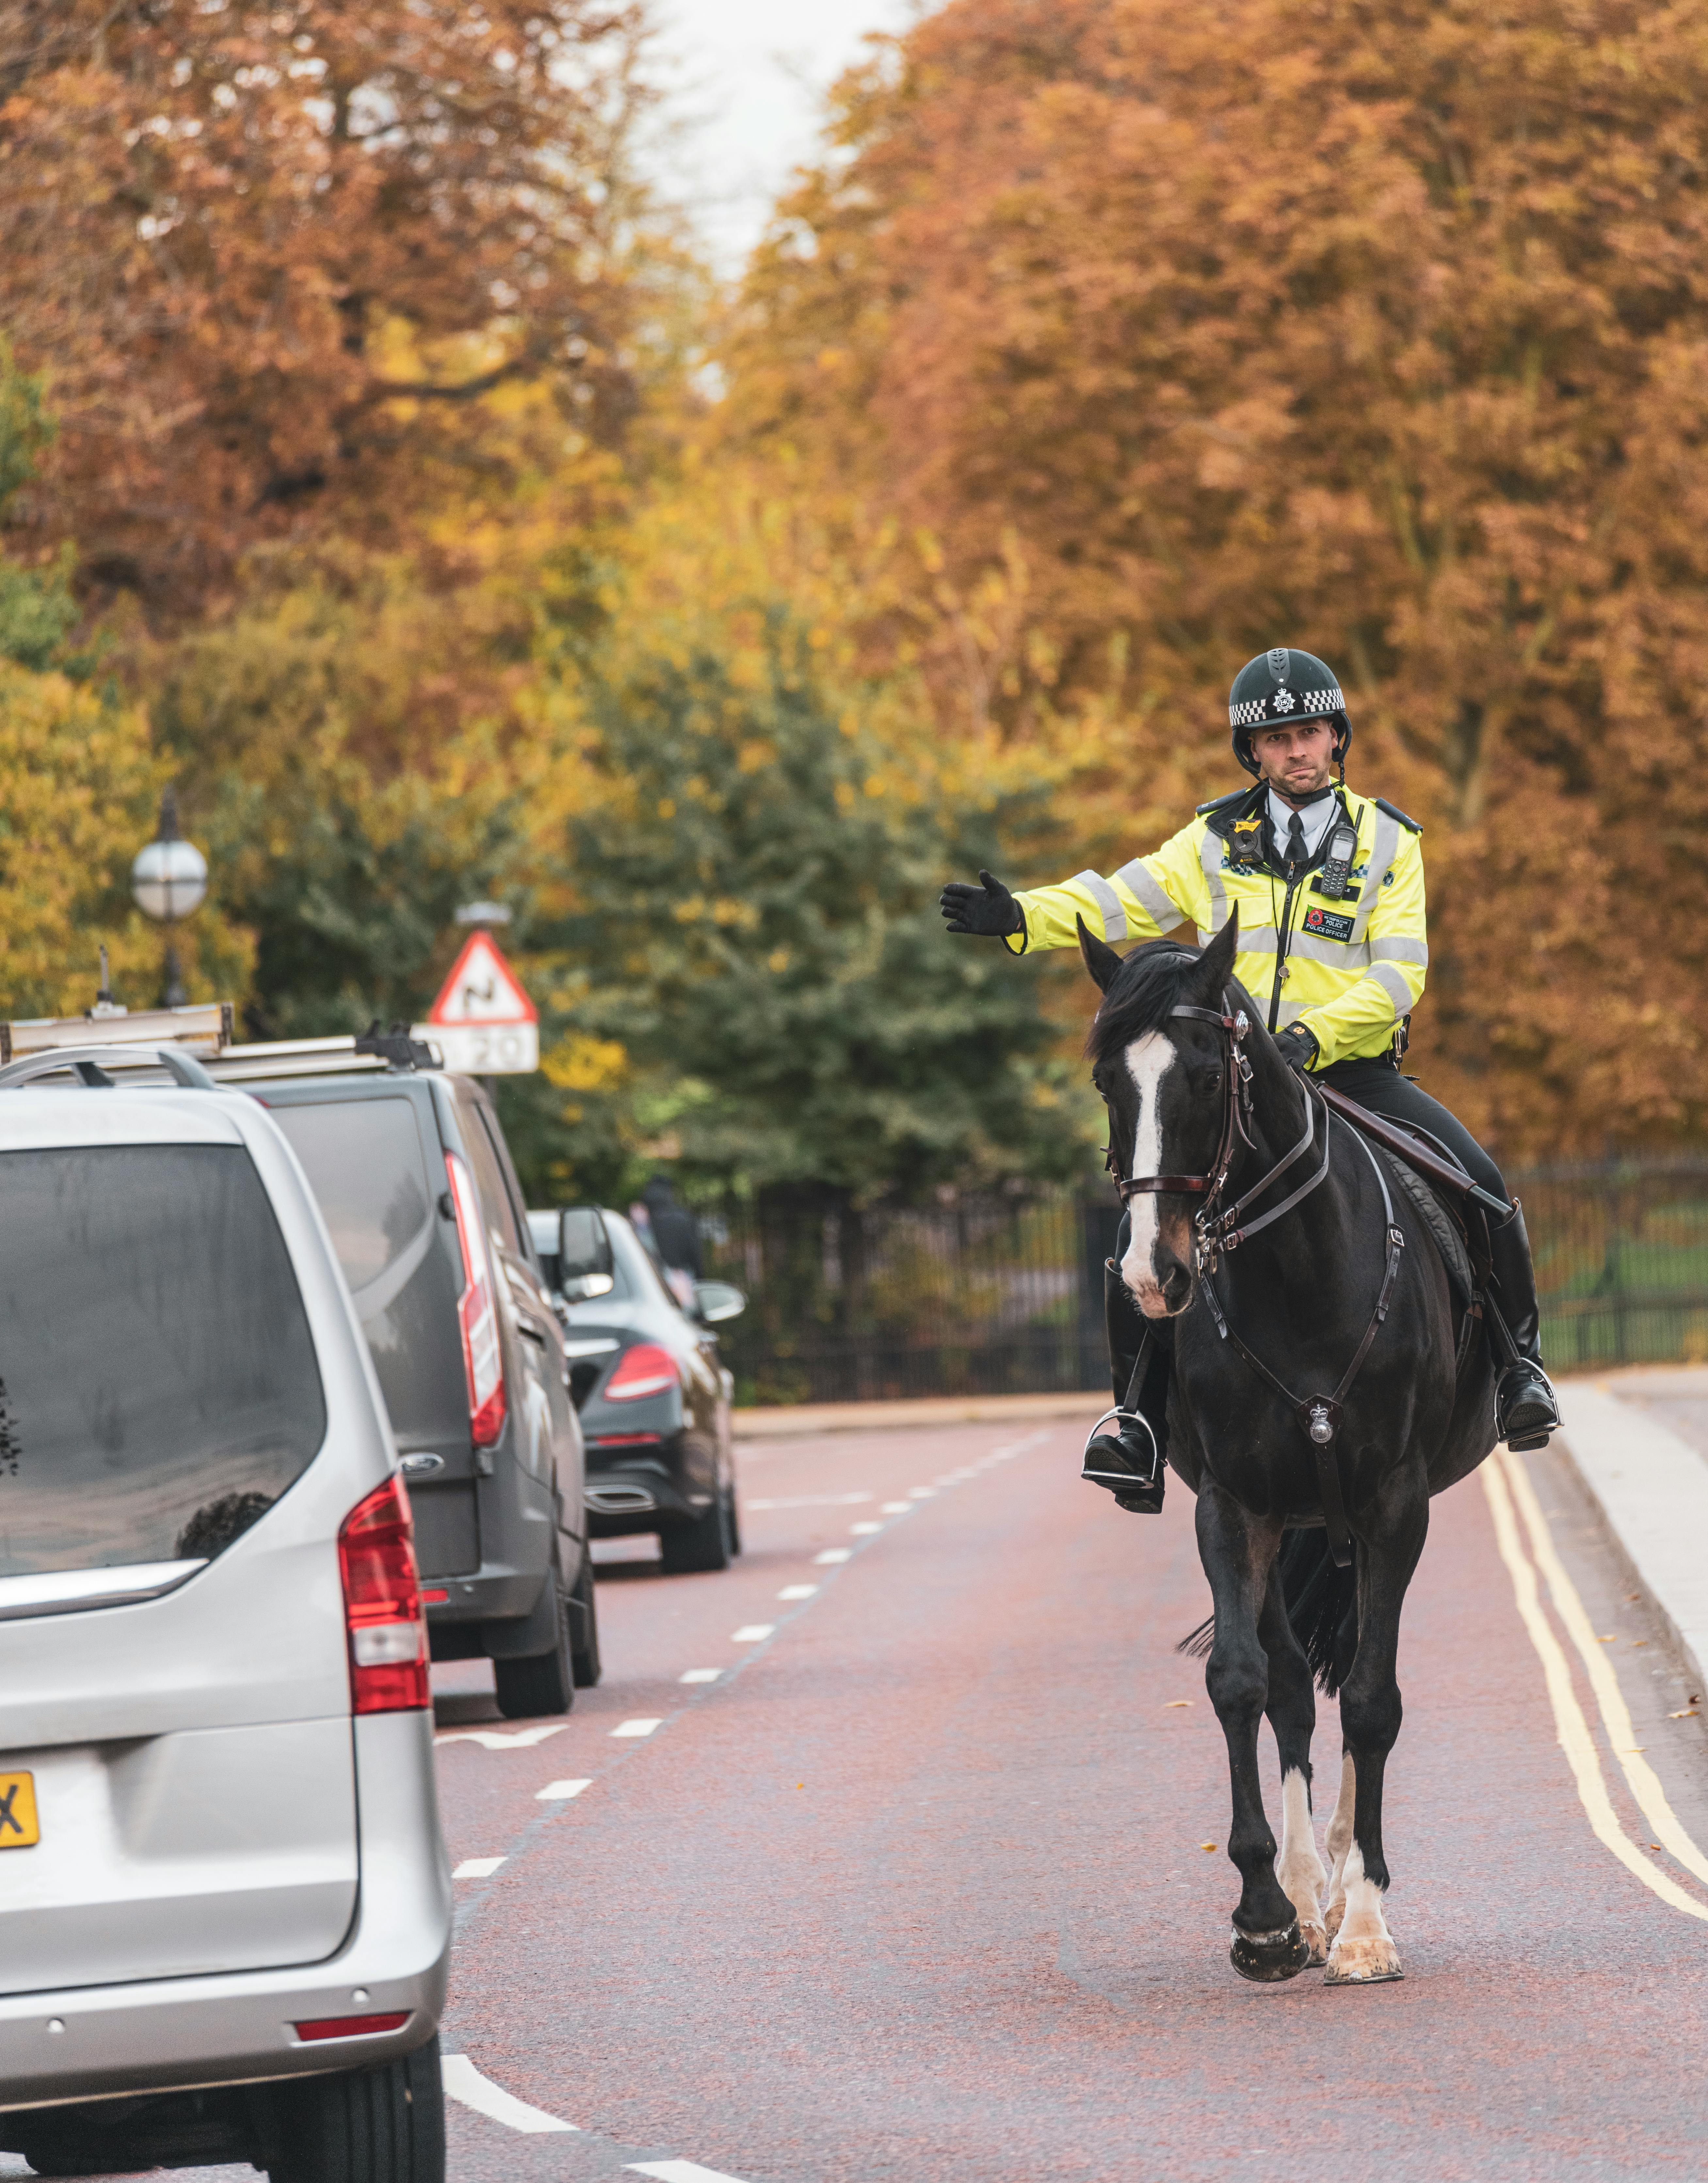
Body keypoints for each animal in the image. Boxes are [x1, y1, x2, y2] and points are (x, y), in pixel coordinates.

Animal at [1082, 912, 1501, 1991]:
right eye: (1108, 1082)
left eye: (1201, 1077)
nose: (1152, 1273)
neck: (1300, 1271)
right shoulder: (1234, 1505)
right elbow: (1243, 1681)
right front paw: (1268, 1913)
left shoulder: (1395, 1505)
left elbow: (1373, 1700)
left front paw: (1367, 1922)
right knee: (1290, 1692)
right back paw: (1311, 1893)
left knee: (1353, 1673)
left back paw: (1348, 1882)